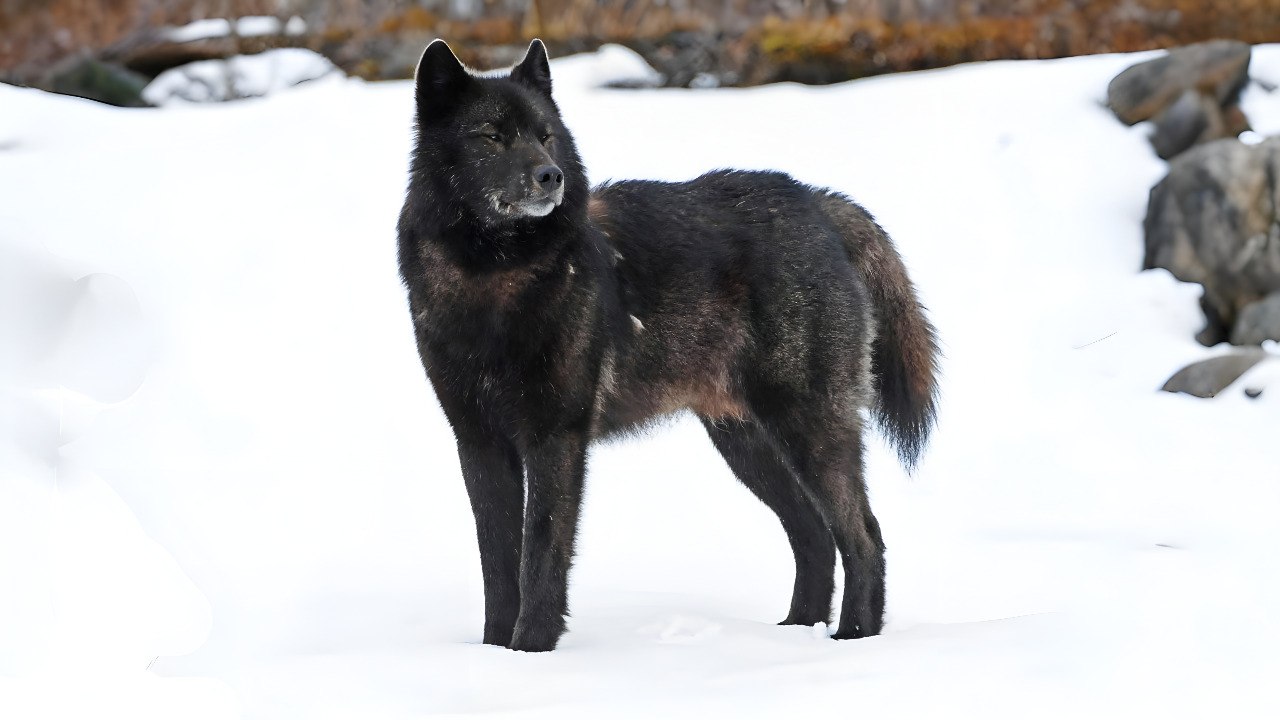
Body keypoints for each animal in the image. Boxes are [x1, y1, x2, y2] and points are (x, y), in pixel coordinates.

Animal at [397, 39, 940, 652]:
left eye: (545, 135)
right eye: (491, 135)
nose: (550, 176)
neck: (495, 279)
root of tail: (819, 203)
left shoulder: (555, 438)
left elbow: (539, 554)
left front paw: (532, 649)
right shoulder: (479, 442)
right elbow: (497, 563)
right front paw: (494, 654)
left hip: (806, 427)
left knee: (863, 534)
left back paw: (852, 638)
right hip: (745, 442)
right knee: (814, 535)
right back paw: (795, 634)